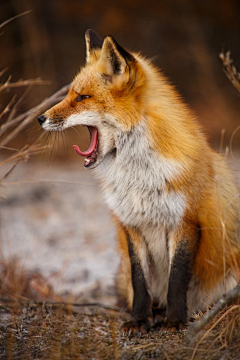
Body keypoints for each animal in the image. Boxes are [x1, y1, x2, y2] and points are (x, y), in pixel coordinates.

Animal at [38, 29, 240, 334]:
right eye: (72, 94)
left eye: (82, 97)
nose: (40, 118)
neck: (138, 177)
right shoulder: (131, 225)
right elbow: (140, 280)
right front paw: (139, 320)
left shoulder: (185, 223)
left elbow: (176, 280)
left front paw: (175, 321)